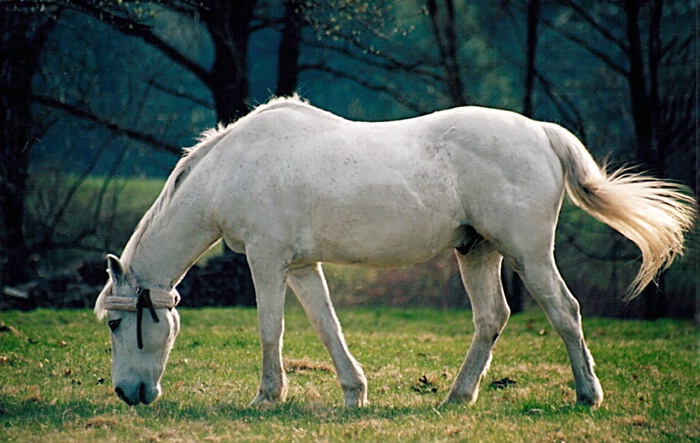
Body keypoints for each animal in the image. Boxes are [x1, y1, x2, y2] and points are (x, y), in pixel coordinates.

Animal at [93, 96, 696, 410]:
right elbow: (327, 326)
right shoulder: (300, 266)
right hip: (477, 253)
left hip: (528, 253)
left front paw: (268, 396)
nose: (128, 393)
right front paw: (354, 393)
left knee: (565, 313)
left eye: (117, 325)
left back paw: (588, 395)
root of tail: (541, 132)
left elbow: (271, 329)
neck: (234, 169)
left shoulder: (266, 260)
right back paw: (457, 396)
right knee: (491, 318)